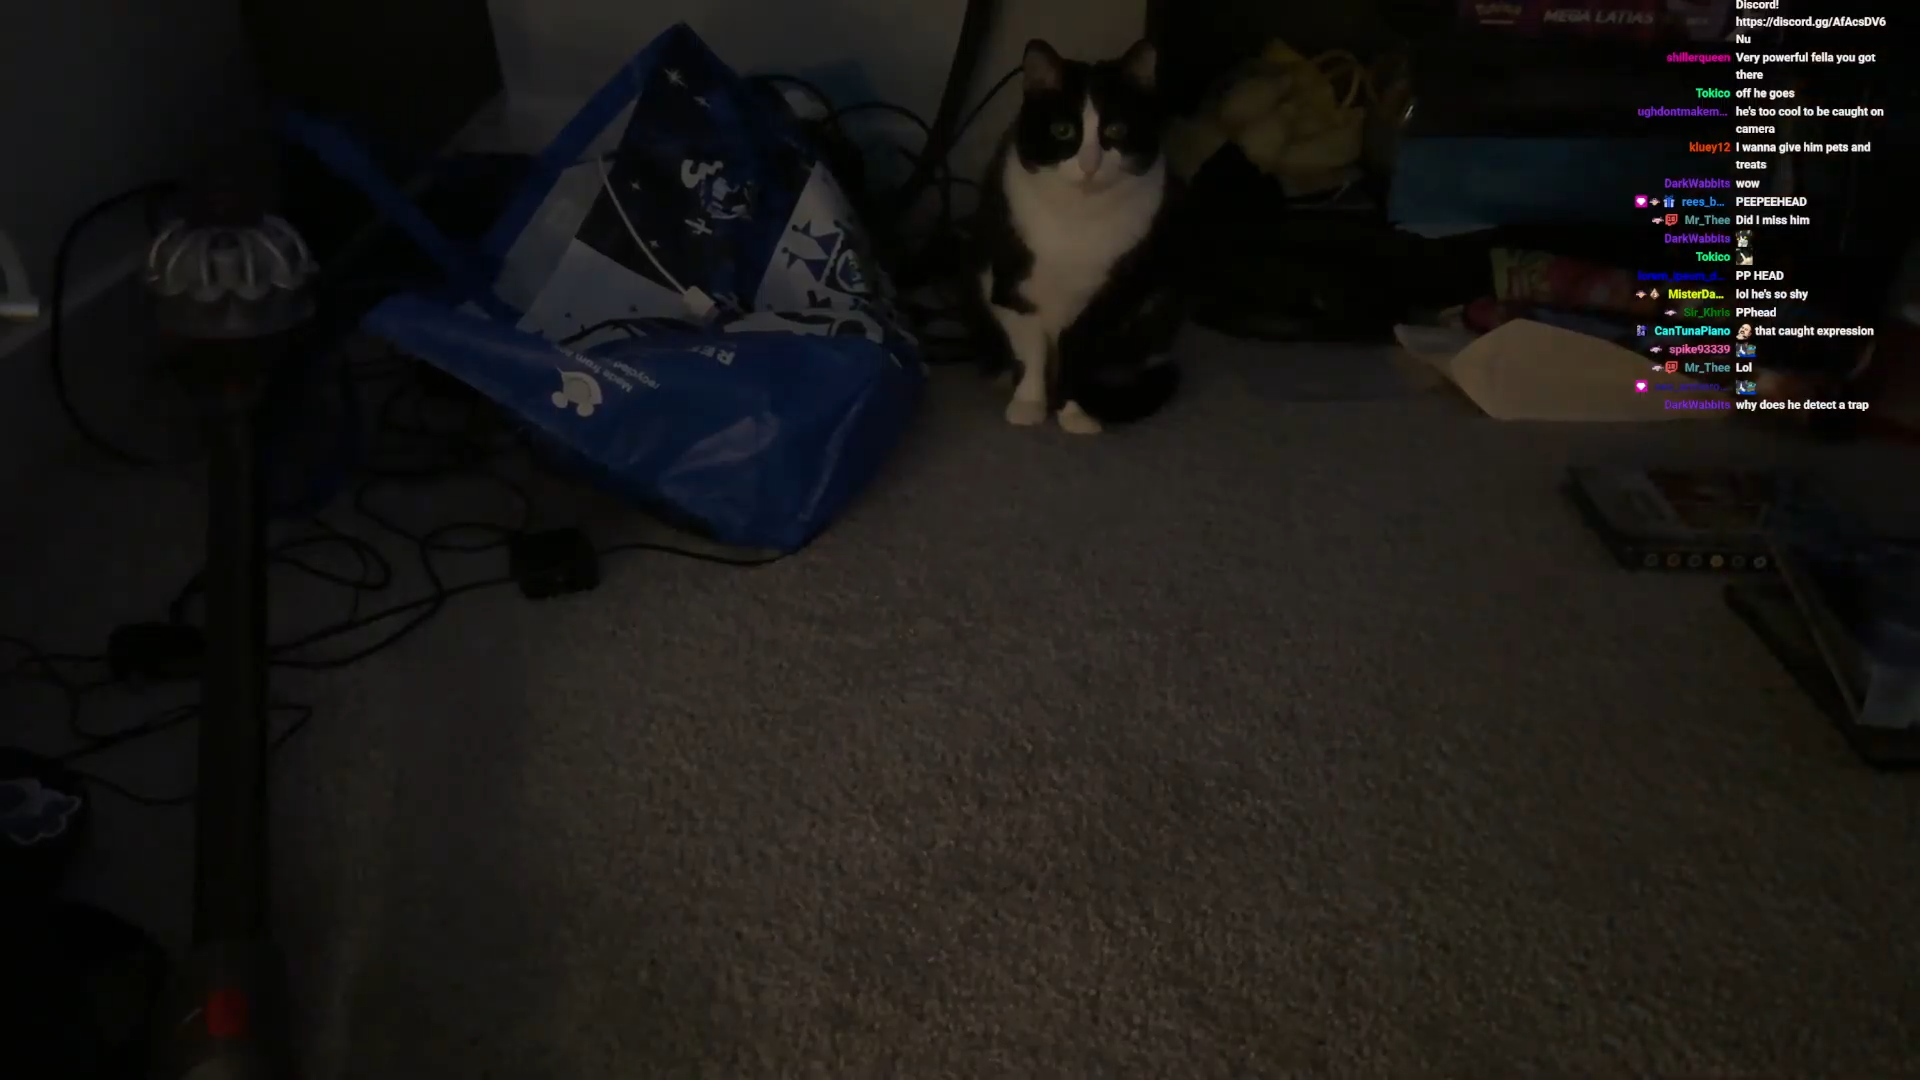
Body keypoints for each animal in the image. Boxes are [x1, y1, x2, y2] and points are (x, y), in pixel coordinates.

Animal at [964, 39, 1185, 434]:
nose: (1089, 164)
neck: (1077, 218)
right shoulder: (1009, 284)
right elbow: (1031, 347)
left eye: (1116, 130)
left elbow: (1078, 347)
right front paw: (1028, 404)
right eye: (1063, 130)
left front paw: (1075, 413)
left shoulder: (1114, 293)